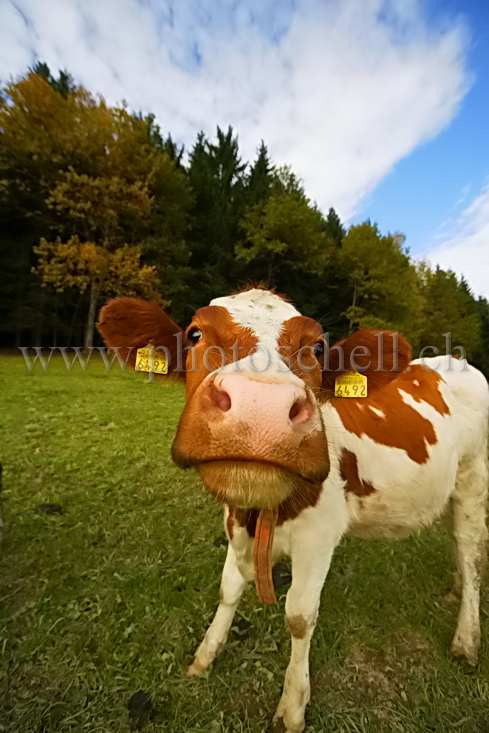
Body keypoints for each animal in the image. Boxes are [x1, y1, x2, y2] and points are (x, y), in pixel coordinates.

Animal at [98, 286, 488, 732]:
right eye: (195, 334)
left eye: (317, 348)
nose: (259, 407)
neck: (263, 511)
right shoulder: (234, 521)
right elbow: (228, 588)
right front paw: (205, 655)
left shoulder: (319, 537)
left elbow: (299, 617)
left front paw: (293, 705)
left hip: (475, 477)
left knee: (471, 552)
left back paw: (466, 638)